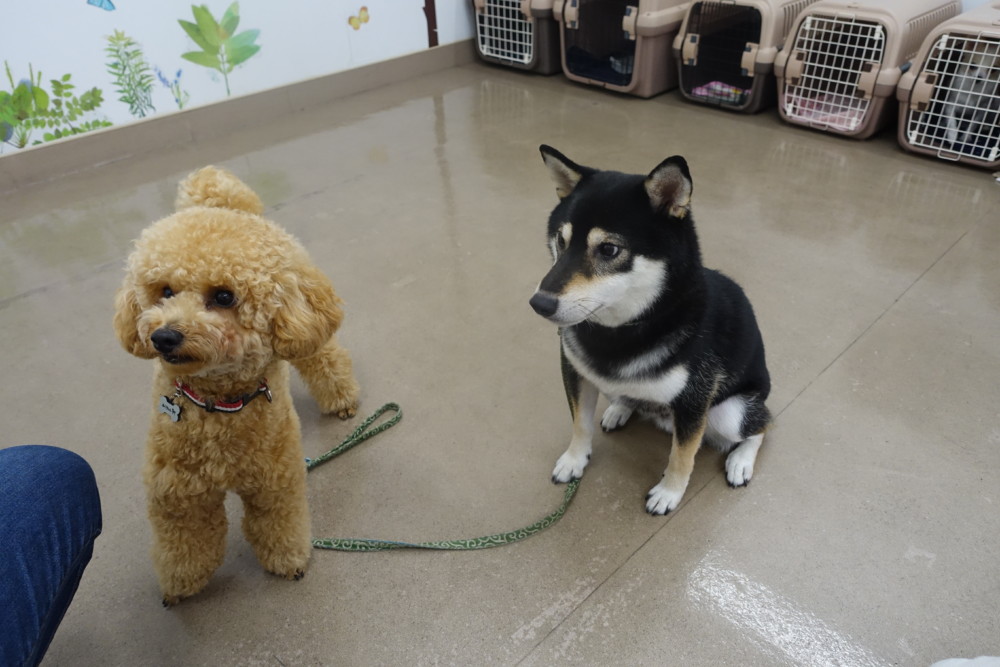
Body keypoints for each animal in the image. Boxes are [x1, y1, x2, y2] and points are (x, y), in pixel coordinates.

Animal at [113, 166, 360, 605]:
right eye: (165, 291)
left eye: (224, 296)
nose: (163, 337)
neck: (220, 407)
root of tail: (225, 205)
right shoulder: (177, 495)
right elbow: (186, 544)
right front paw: (181, 585)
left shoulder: (276, 482)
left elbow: (278, 525)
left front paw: (289, 561)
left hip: (311, 331)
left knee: (324, 356)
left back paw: (342, 398)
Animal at [529, 146, 771, 515]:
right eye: (560, 240)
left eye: (609, 249)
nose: (539, 303)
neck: (626, 328)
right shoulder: (575, 370)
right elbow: (580, 423)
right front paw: (574, 460)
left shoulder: (694, 402)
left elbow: (682, 456)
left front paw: (669, 493)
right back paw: (619, 409)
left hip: (730, 412)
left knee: (762, 425)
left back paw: (740, 461)